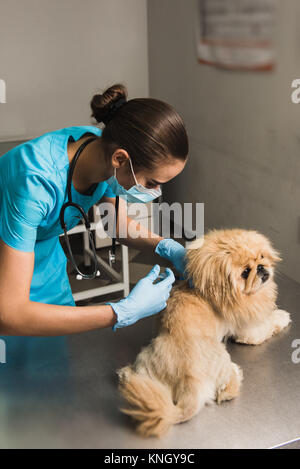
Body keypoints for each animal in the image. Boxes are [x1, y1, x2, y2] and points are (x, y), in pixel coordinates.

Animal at [116, 229, 290, 436]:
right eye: (245, 272)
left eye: (261, 256)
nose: (261, 267)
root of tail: (188, 379)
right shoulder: (250, 330)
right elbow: (270, 322)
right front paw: (283, 316)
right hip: (222, 358)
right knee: (227, 391)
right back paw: (236, 373)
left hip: (146, 360)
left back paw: (126, 375)